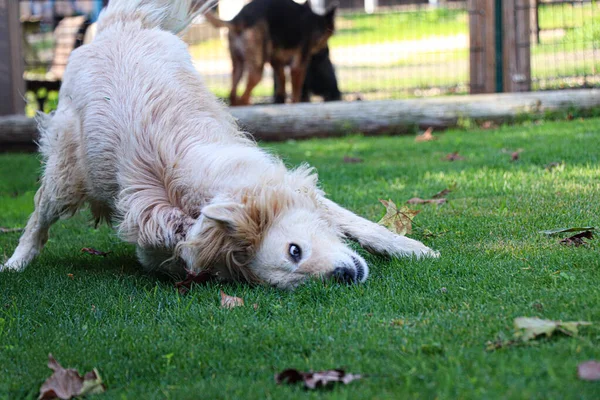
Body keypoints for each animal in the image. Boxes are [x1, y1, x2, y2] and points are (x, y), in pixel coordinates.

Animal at [206, 0, 338, 104]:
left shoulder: (276, 61)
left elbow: (282, 81)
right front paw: (295, 103)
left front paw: (281, 100)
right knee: (244, 96)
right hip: (258, 68)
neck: (315, 22)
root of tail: (239, 19)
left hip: (237, 65)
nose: (327, 52)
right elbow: (296, 89)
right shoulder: (298, 65)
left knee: (233, 93)